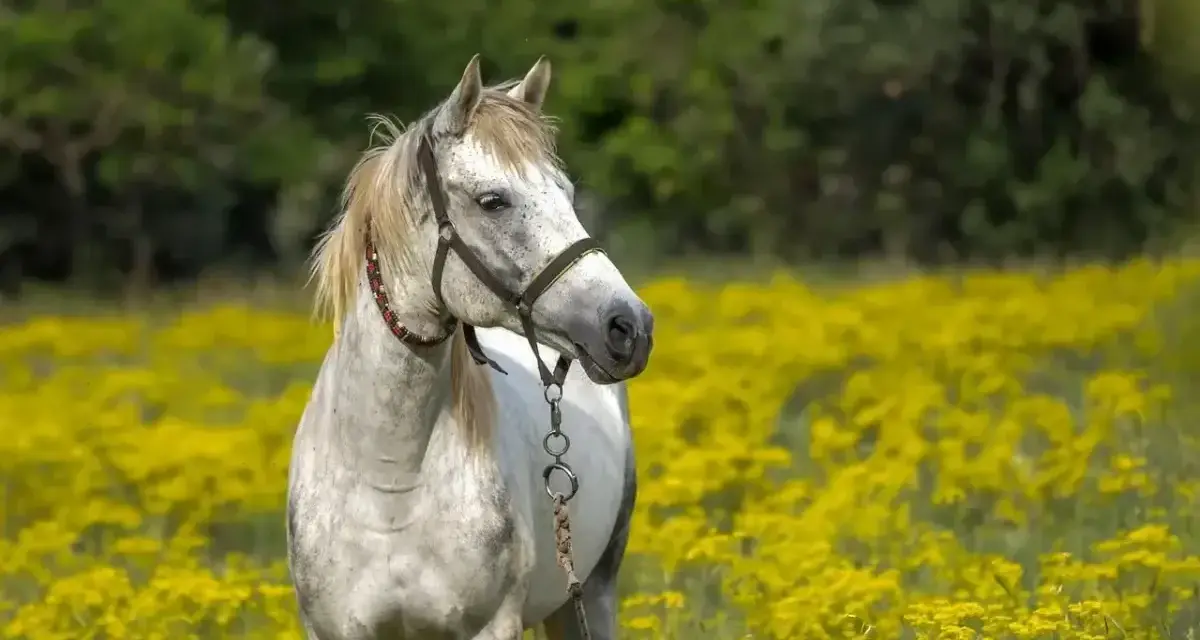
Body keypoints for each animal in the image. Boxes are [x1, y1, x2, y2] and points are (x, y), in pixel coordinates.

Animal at [286, 54, 655, 640]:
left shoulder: (492, 625)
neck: (391, 482)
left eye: (567, 194)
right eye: (492, 201)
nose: (630, 327)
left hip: (593, 592)